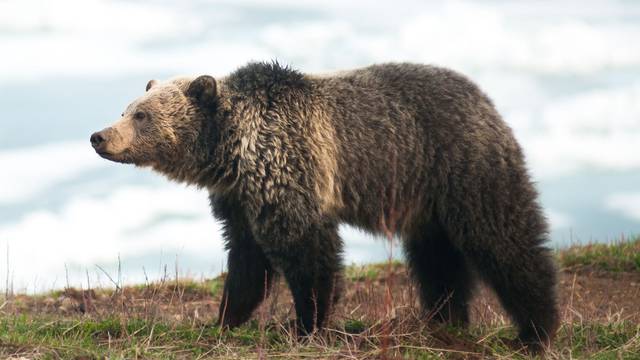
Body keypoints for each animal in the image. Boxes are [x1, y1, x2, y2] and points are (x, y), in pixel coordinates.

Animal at [91, 61, 560, 352]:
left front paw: (306, 325)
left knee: (502, 238)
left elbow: (308, 254)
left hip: (460, 165)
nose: (99, 135)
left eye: (142, 115)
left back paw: (535, 330)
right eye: (126, 109)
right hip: (425, 201)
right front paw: (225, 319)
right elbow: (246, 261)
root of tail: (485, 98)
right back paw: (444, 320)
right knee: (437, 260)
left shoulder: (289, 170)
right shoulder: (240, 199)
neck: (232, 151)